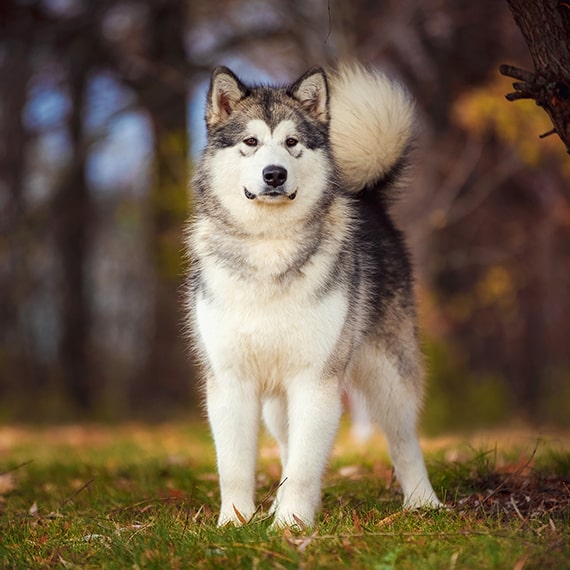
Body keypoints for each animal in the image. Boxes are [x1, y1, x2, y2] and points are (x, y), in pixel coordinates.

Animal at [184, 61, 442, 524]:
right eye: (251, 141)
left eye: (292, 142)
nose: (275, 174)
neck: (269, 247)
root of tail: (367, 197)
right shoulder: (231, 381)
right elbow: (235, 466)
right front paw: (235, 522)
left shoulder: (316, 381)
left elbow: (305, 466)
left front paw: (291, 524)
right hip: (276, 401)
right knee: (288, 444)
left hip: (388, 374)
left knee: (404, 441)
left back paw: (423, 502)